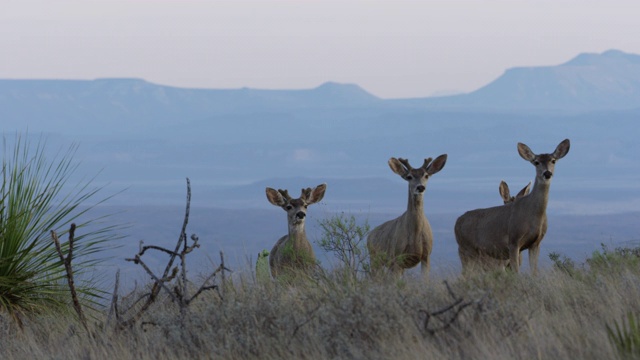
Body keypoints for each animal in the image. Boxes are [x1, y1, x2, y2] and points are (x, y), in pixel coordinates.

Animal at [456, 139, 568, 274]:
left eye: (553, 160)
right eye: (536, 162)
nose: (547, 173)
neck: (534, 215)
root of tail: (457, 222)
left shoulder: (536, 243)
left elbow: (534, 272)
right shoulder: (513, 241)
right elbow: (516, 273)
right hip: (466, 249)